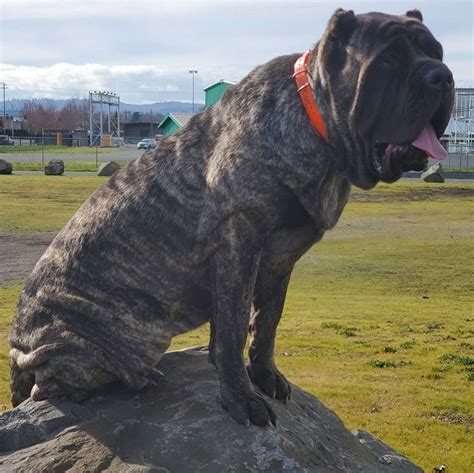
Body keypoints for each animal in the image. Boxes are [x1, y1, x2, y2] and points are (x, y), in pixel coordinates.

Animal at [9, 9, 454, 426]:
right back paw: (137, 376)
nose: (443, 77)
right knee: (46, 387)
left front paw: (265, 376)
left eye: (438, 53)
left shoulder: (279, 260)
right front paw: (241, 398)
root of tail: (17, 345)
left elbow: (266, 324)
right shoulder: (240, 241)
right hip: (107, 334)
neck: (318, 127)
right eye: (389, 59)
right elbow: (233, 330)